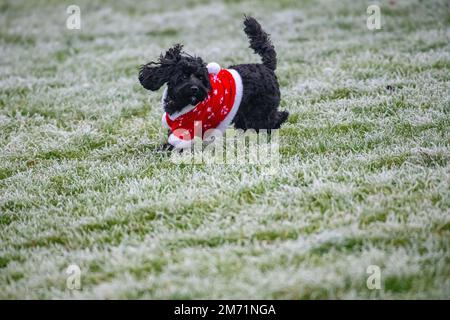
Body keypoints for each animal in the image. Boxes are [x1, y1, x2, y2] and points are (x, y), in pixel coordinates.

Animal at [139, 15, 290, 149]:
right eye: (183, 76)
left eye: (200, 77)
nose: (195, 88)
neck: (182, 103)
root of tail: (267, 67)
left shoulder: (189, 128)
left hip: (260, 111)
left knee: (273, 120)